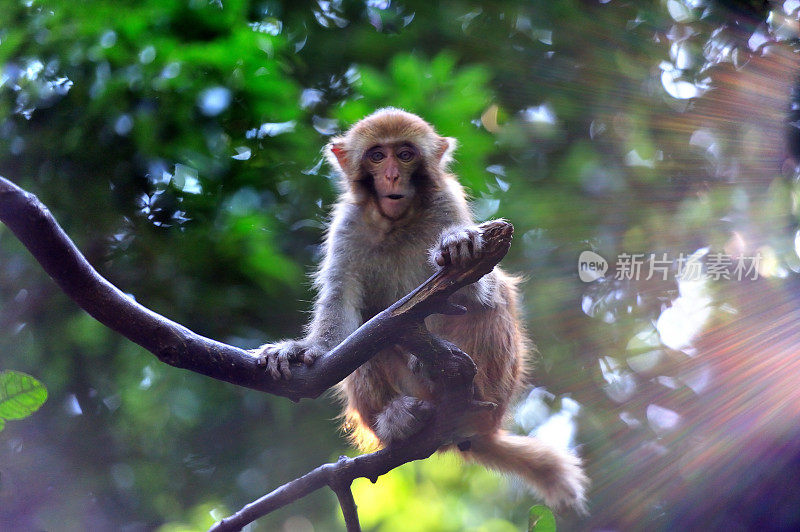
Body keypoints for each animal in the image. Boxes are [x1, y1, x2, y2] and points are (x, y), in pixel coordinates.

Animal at [256, 106, 588, 510]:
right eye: (377, 156)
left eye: (405, 154)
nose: (392, 175)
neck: (398, 223)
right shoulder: (348, 224)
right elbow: (340, 300)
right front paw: (304, 350)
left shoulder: (448, 202)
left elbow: (479, 291)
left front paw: (458, 244)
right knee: (366, 336)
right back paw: (396, 421)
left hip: (495, 390)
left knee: (494, 304)